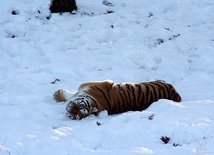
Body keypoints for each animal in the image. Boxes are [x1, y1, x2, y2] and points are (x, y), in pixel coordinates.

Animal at [54, 80, 182, 120]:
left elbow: (69, 95)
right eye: (75, 116)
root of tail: (177, 97)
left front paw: (57, 94)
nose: (71, 111)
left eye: (79, 112)